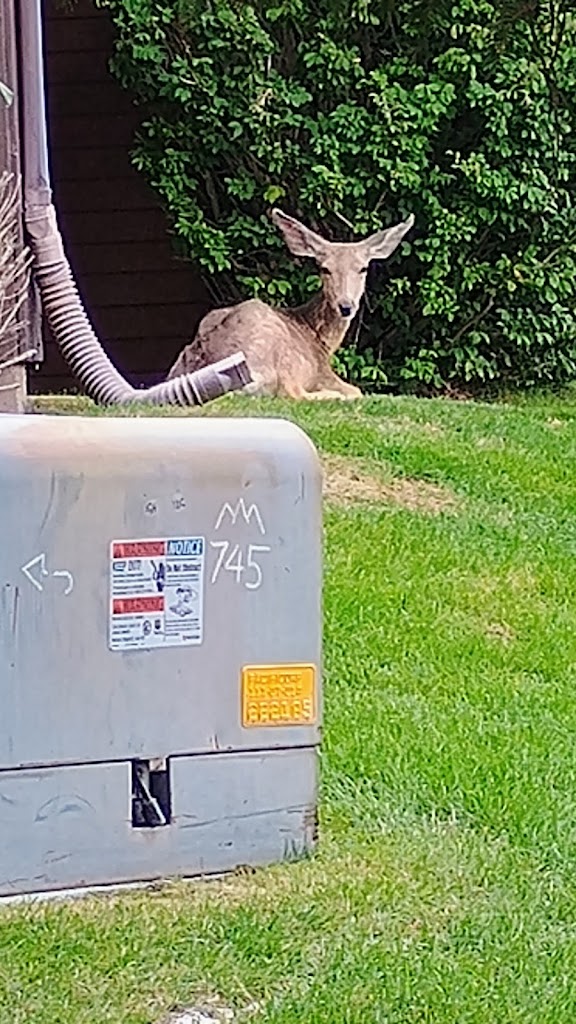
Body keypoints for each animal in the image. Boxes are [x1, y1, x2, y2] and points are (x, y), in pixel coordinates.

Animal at [168, 208, 415, 400]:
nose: (346, 306)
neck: (320, 340)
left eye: (363, 268)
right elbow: (356, 390)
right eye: (324, 268)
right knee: (292, 393)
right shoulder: (321, 372)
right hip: (277, 357)